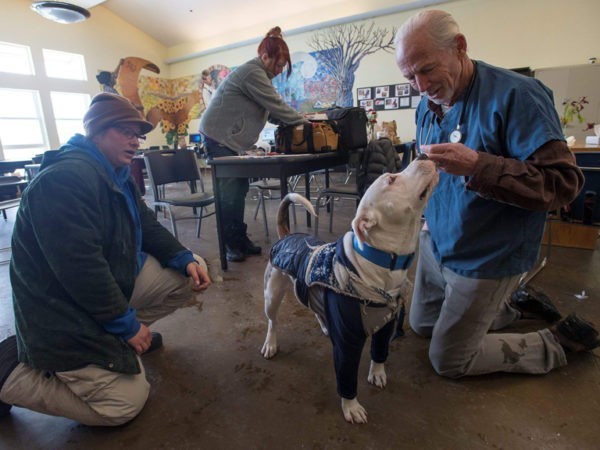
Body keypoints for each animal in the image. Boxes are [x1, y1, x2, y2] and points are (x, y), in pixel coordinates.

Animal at [260, 155, 439, 423]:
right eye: (391, 179)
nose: (423, 155)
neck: (380, 263)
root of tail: (286, 236)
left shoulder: (385, 327)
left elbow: (379, 352)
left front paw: (377, 372)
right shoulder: (347, 343)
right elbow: (347, 377)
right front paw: (351, 406)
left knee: (314, 308)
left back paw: (325, 325)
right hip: (272, 295)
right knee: (272, 321)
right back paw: (271, 343)